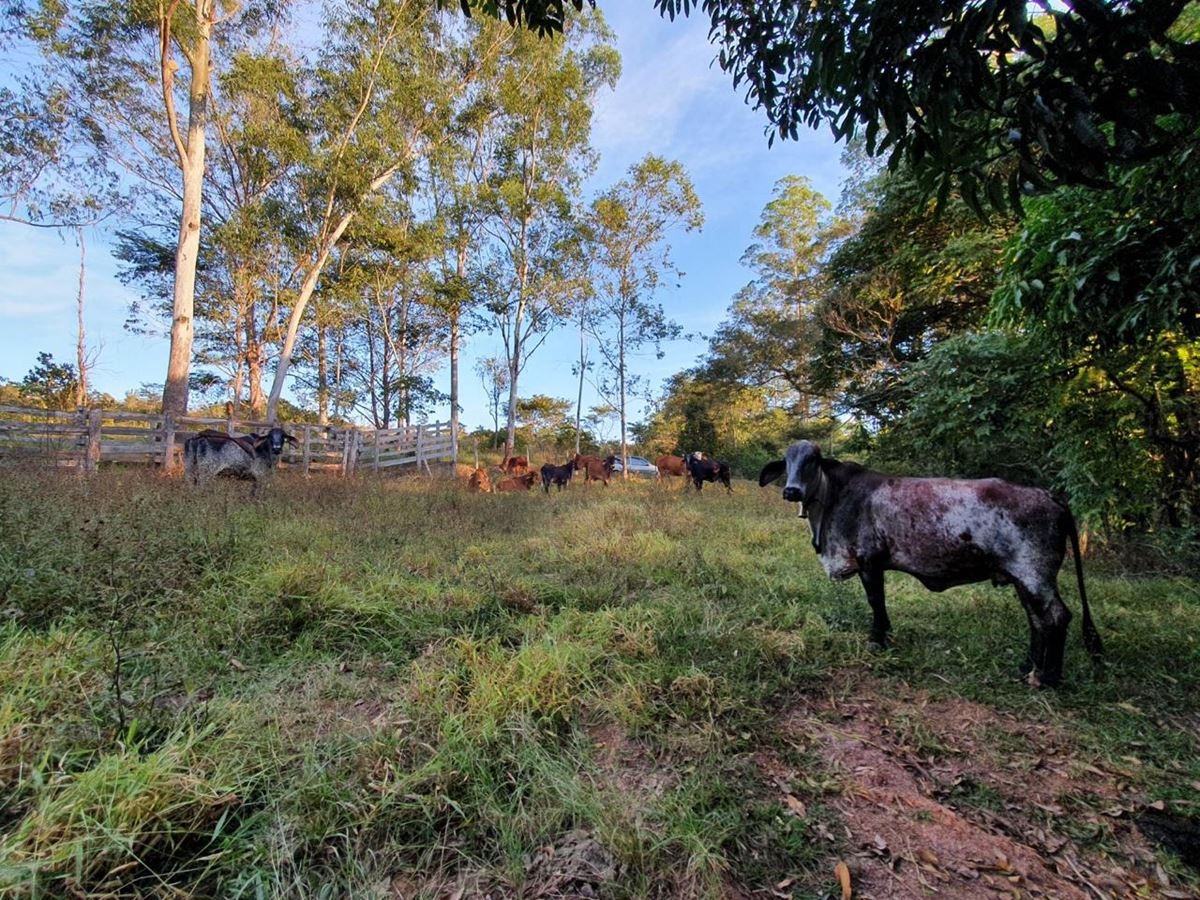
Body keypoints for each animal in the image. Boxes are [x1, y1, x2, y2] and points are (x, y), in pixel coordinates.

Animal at [763, 441, 1099, 686]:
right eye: (787, 462)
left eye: (813, 460)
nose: (791, 491)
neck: (835, 497)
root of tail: (1050, 495)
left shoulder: (870, 561)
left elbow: (876, 601)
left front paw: (877, 639)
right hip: (1022, 579)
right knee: (1037, 620)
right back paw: (1026, 666)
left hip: (1034, 575)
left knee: (1056, 617)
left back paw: (1047, 678)